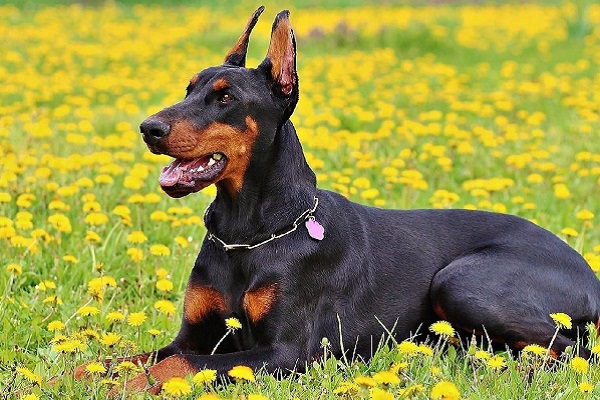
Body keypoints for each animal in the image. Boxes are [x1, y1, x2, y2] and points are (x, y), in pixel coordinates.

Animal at [83, 4, 600, 396]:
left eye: (225, 98)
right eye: (189, 88)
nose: (148, 128)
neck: (248, 233)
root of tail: (590, 274)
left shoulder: (285, 352)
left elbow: (178, 366)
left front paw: (123, 387)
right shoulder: (193, 335)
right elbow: (127, 357)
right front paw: (88, 372)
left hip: (460, 281)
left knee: (573, 348)